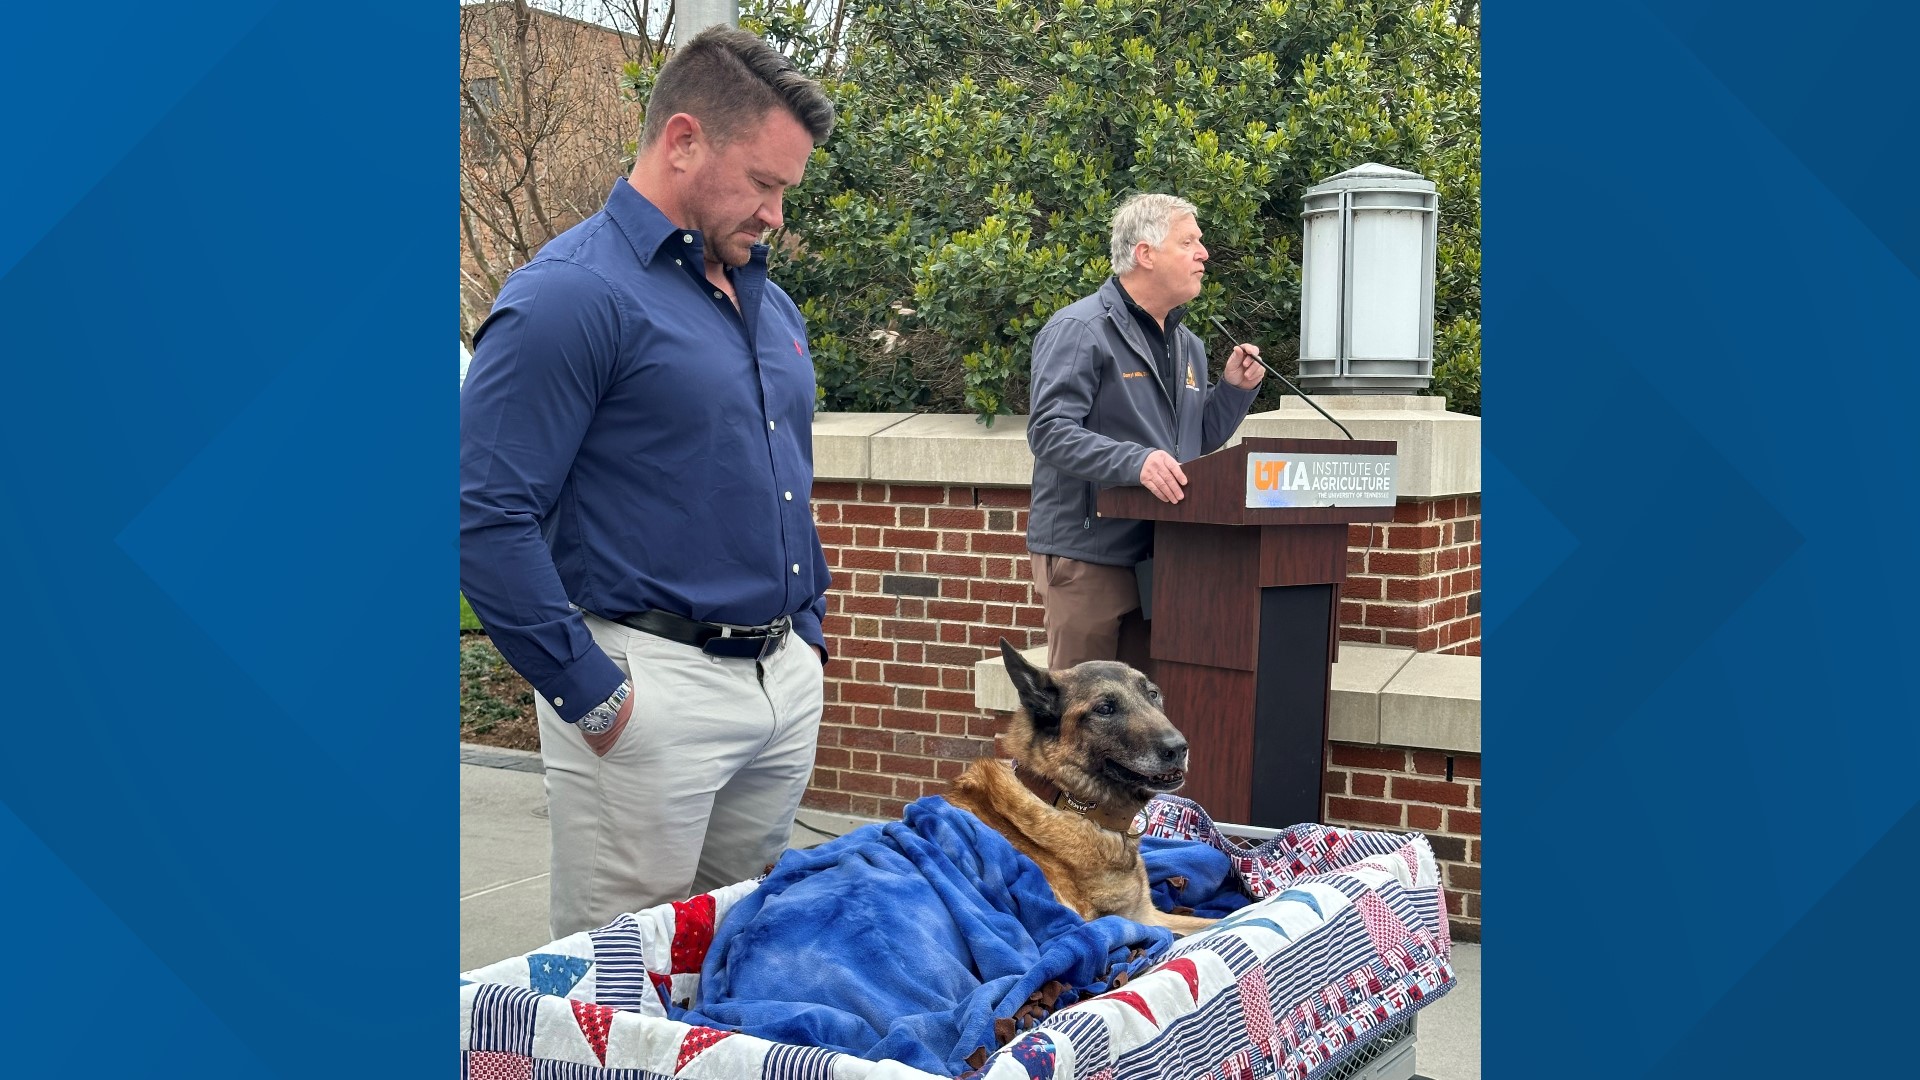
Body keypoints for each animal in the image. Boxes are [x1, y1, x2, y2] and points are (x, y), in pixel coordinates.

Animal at [944, 638, 1213, 933]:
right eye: (1104, 709)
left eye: (1152, 694)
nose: (1178, 748)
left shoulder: (1148, 915)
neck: (1074, 804)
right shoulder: (1123, 923)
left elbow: (1213, 921)